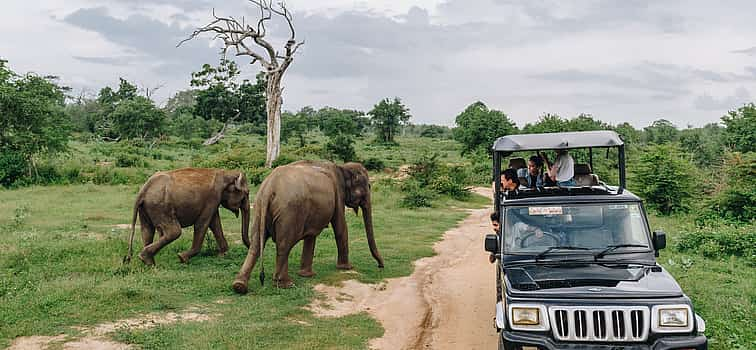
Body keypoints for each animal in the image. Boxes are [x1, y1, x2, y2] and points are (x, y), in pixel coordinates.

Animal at [230, 159, 384, 292]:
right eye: (368, 186)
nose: (380, 265)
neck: (342, 167)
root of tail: (269, 187)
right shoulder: (338, 194)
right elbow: (340, 227)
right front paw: (347, 268)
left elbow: (311, 235)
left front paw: (307, 275)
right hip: (289, 212)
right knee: (284, 245)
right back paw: (286, 284)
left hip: (259, 208)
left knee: (255, 244)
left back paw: (239, 286)